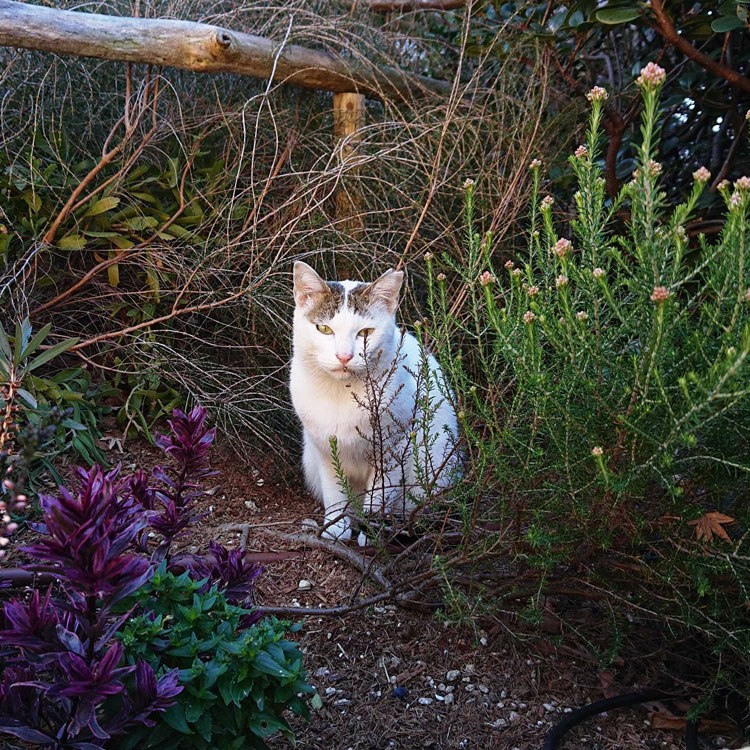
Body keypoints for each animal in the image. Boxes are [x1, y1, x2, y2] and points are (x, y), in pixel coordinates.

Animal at [290, 262, 462, 540]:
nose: (344, 356)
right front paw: (336, 528)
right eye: (324, 329)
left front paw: (371, 533)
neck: (342, 394)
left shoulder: (392, 450)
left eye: (365, 332)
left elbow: (379, 496)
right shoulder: (325, 449)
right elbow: (335, 493)